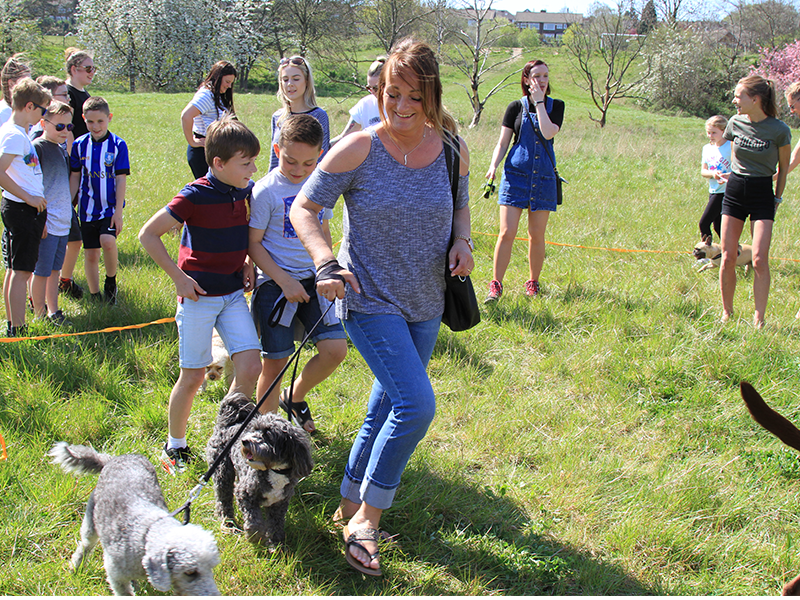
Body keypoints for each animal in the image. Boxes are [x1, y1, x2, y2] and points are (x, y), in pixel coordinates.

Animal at [49, 442, 220, 596]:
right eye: (190, 572)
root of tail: (113, 460)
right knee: (84, 546)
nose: (213, 595)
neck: (146, 534)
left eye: (211, 567)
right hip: (91, 524)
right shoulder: (115, 575)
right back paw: (75, 567)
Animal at [206, 392, 313, 547]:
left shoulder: (279, 503)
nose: (245, 441)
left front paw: (276, 545)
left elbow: (276, 525)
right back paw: (228, 523)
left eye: (268, 435)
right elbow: (254, 521)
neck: (275, 471)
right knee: (223, 499)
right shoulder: (245, 494)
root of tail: (225, 424)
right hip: (222, 471)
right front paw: (255, 536)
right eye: (255, 430)